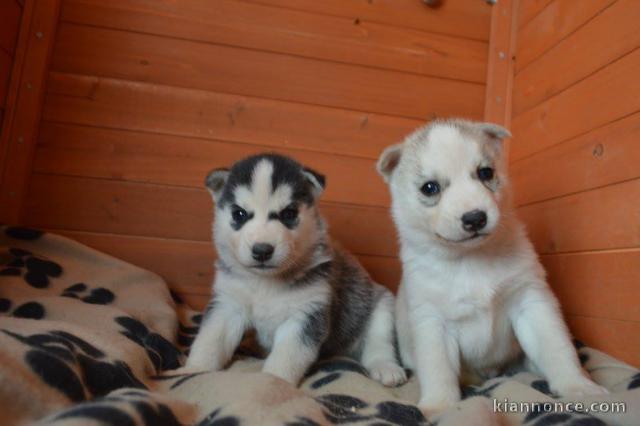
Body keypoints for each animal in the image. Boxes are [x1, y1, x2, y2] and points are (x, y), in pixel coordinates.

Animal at [185, 155, 404, 388]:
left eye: (288, 214)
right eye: (239, 214)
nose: (262, 250)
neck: (265, 283)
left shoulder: (305, 315)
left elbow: (286, 358)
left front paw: (272, 384)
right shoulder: (227, 305)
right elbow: (210, 341)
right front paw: (193, 371)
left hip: (381, 307)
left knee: (379, 344)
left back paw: (386, 368)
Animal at [378, 119, 608, 416]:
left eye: (485, 172)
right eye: (430, 188)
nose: (475, 218)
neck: (472, 259)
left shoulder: (531, 303)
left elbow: (557, 347)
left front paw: (577, 387)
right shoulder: (432, 322)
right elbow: (438, 369)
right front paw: (440, 407)